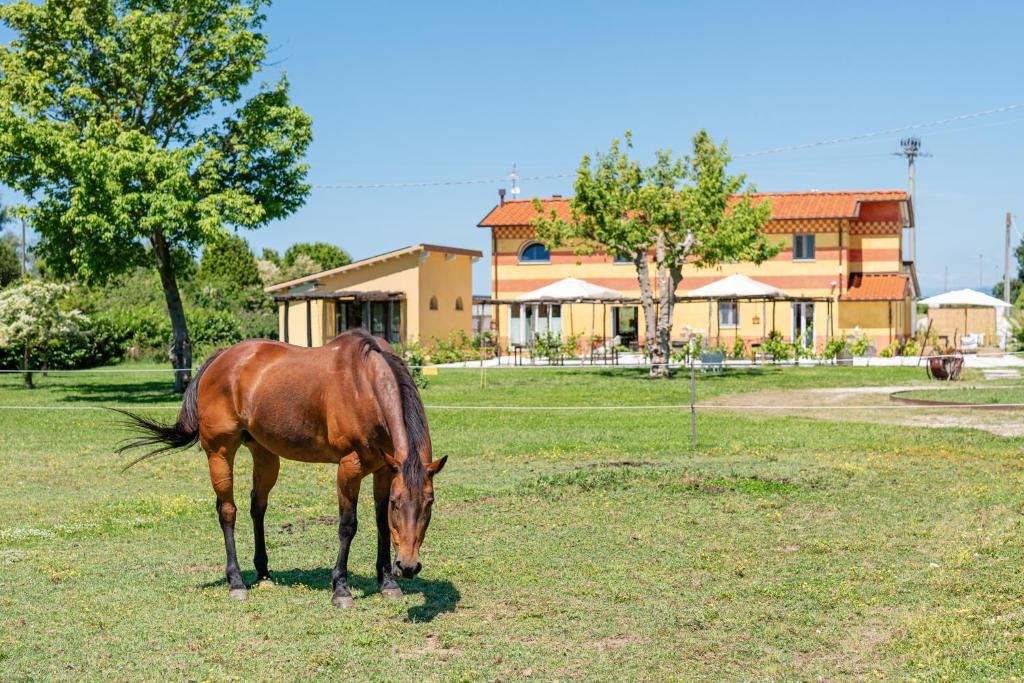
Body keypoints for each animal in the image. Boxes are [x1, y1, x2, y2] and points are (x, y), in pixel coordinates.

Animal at [117, 329, 447, 608]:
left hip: (264, 454)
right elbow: (347, 525)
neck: (364, 385)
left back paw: (263, 573)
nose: (408, 566)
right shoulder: (349, 468)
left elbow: (380, 523)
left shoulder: (384, 469)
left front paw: (388, 583)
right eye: (398, 504)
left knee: (257, 507)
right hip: (219, 453)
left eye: (429, 503)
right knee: (228, 511)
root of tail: (220, 358)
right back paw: (236, 582)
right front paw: (341, 589)